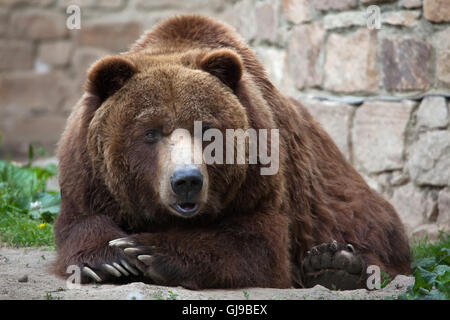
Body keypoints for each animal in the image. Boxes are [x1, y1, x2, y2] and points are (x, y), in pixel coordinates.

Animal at [53, 15, 412, 290]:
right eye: (150, 132)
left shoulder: (259, 181)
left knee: (370, 229)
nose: (186, 180)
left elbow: (255, 243)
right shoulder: (87, 173)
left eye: (206, 130)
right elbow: (80, 223)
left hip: (344, 199)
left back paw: (335, 263)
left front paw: (145, 249)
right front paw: (109, 260)